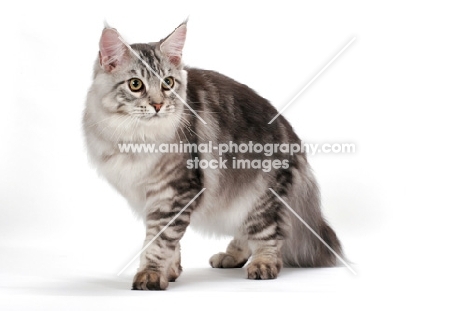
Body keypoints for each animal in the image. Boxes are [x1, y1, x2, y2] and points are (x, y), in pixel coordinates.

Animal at [82, 22, 342, 292]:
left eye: (168, 83)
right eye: (135, 84)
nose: (158, 105)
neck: (135, 138)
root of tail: (292, 134)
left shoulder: (174, 192)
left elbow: (160, 242)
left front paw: (151, 274)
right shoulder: (156, 197)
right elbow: (172, 243)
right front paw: (171, 271)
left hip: (260, 197)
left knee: (270, 236)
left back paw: (262, 264)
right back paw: (231, 256)